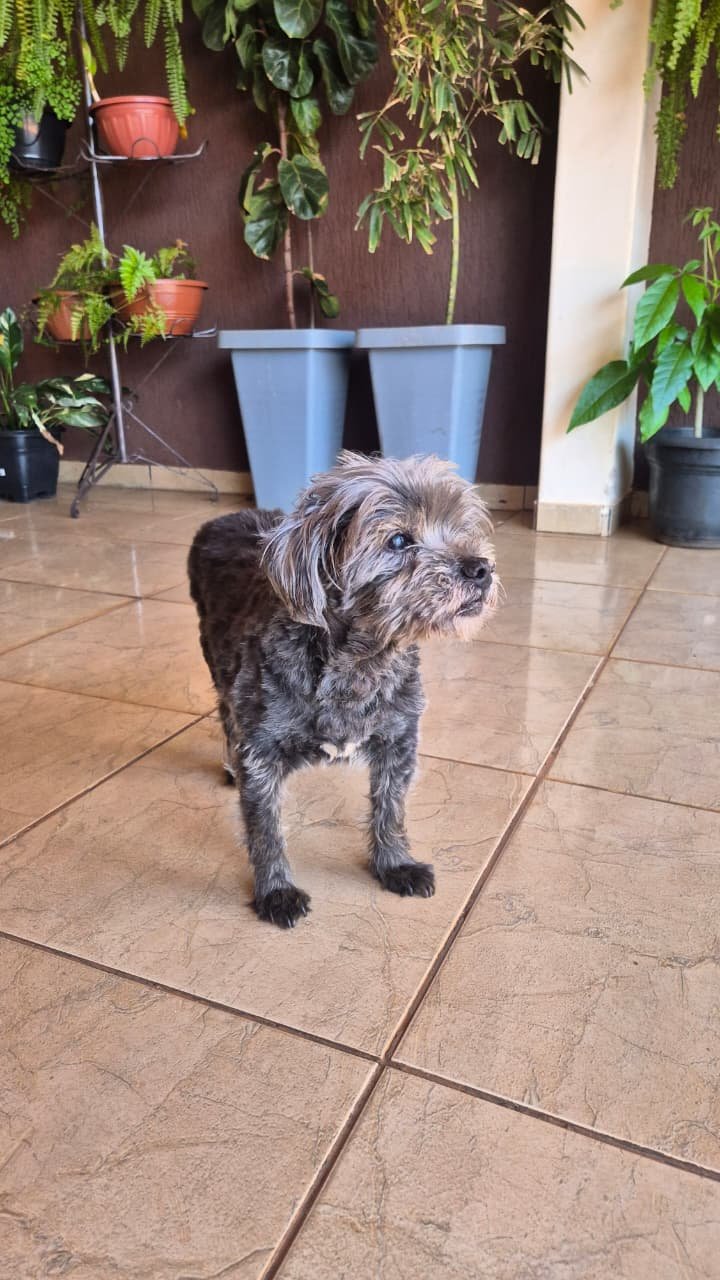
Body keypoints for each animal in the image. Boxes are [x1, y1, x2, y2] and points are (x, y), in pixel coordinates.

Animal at [188, 452, 499, 928]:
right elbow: (265, 830)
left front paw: (395, 864)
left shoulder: (398, 741)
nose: (481, 568)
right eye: (398, 540)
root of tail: (221, 518)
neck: (361, 663)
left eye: (459, 529)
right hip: (218, 666)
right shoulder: (260, 754)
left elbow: (391, 809)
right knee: (225, 717)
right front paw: (275, 891)